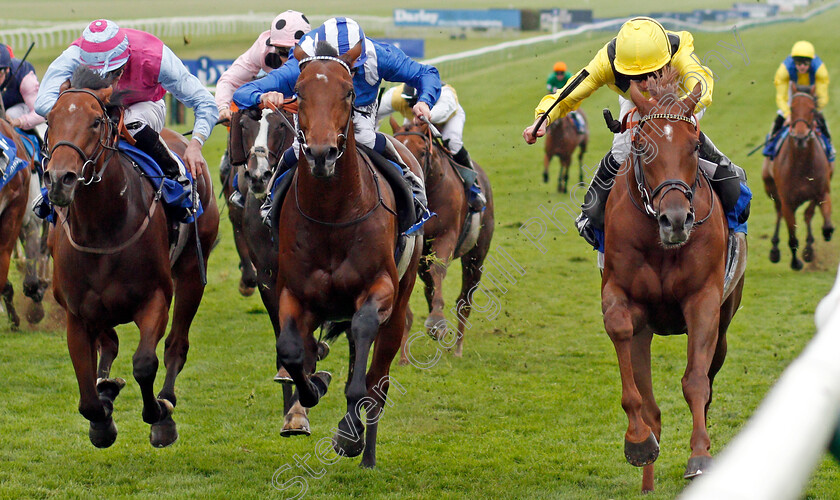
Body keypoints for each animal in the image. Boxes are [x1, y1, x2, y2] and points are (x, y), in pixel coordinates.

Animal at [44, 67, 220, 450]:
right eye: (49, 120)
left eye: (96, 121)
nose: (60, 180)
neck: (102, 230)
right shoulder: (77, 313)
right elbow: (87, 396)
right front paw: (102, 417)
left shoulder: (155, 299)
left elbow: (144, 363)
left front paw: (159, 413)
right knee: (109, 342)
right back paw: (108, 387)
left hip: (190, 274)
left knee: (176, 345)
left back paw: (165, 402)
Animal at [274, 40, 424, 468]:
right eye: (298, 92)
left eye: (349, 92)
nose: (321, 154)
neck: (332, 215)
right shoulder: (295, 293)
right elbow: (291, 351)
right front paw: (313, 386)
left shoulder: (379, 288)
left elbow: (363, 377)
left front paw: (349, 433)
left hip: (399, 303)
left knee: (379, 377)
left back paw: (365, 450)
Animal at [392, 117, 492, 360]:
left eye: (422, 151)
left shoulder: (446, 235)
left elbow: (438, 269)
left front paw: (437, 322)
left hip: (476, 256)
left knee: (465, 300)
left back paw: (457, 348)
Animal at [600, 70, 744, 492]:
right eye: (641, 145)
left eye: (694, 145)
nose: (676, 220)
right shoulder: (621, 295)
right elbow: (620, 332)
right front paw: (637, 442)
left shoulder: (704, 299)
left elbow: (696, 382)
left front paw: (699, 456)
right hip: (646, 330)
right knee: (650, 404)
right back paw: (647, 472)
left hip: (725, 324)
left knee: (709, 379)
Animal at [760, 83, 832, 270]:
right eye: (791, 108)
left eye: (812, 109)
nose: (800, 137)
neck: (801, 165)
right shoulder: (787, 201)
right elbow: (792, 237)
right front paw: (795, 262)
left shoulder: (821, 192)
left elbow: (822, 221)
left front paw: (811, 247)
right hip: (771, 188)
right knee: (778, 213)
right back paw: (775, 250)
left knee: (807, 215)